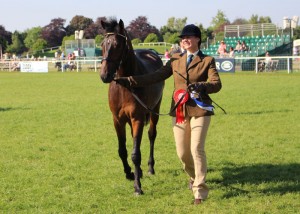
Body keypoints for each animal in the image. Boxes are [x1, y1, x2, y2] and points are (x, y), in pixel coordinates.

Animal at [99, 19, 163, 195]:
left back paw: (150, 168)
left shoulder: (137, 119)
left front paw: (137, 186)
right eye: (102, 44)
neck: (125, 84)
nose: (104, 75)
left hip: (155, 110)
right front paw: (129, 173)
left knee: (152, 135)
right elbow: (122, 150)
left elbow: (135, 154)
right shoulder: (117, 120)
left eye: (117, 45)